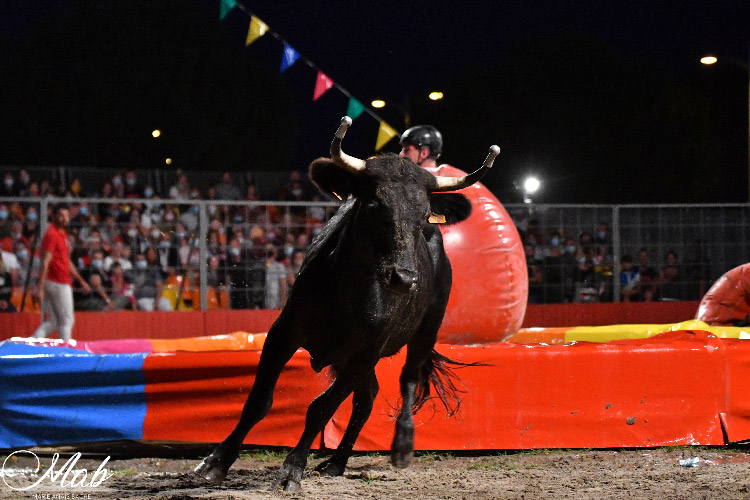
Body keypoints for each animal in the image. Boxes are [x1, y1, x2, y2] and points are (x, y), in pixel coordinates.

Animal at [197, 118, 502, 492]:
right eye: (375, 206)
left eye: (423, 218)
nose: (404, 279)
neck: (346, 291)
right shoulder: (283, 334)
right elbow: (259, 400)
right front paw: (217, 461)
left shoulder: (365, 352)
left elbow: (321, 407)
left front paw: (291, 469)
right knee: (367, 398)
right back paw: (338, 461)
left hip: (425, 332)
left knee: (406, 380)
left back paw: (402, 444)